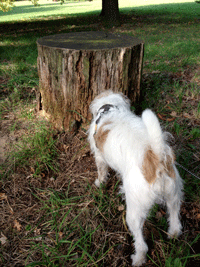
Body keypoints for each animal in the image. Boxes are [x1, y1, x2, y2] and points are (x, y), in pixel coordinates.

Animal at [88, 91, 184, 266]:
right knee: (175, 220)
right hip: (173, 194)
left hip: (134, 212)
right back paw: (173, 234)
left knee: (142, 244)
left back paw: (138, 259)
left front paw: (99, 183)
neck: (109, 108)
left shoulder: (99, 157)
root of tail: (155, 158)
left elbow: (101, 171)